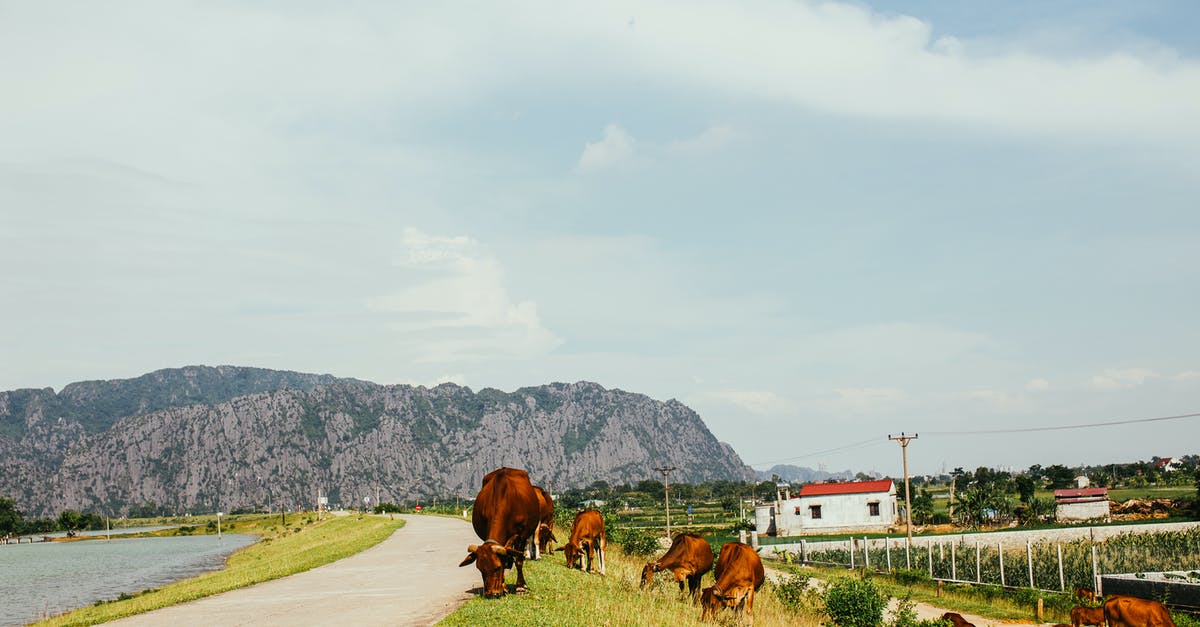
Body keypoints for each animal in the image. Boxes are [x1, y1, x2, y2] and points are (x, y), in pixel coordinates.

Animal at [453, 463, 540, 595]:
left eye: (497, 567)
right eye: (480, 569)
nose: (491, 592)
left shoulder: (521, 536)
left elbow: (518, 560)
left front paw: (520, 586)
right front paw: (503, 587)